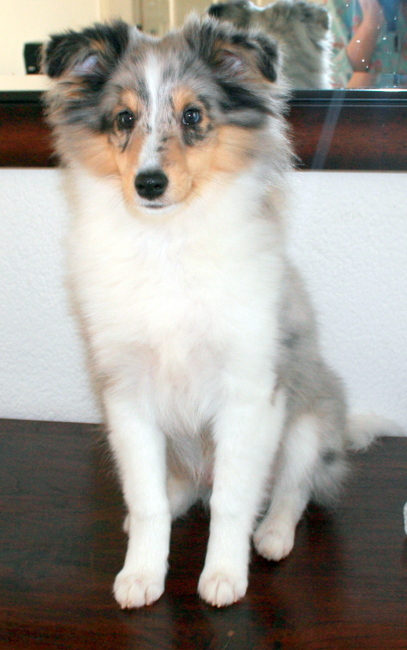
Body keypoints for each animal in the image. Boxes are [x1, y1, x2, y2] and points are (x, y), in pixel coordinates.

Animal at [43, 17, 373, 609]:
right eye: (124, 118)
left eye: (193, 115)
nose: (149, 183)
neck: (166, 242)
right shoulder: (127, 394)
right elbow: (147, 499)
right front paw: (141, 574)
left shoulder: (249, 392)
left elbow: (232, 501)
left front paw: (223, 576)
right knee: (182, 490)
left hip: (309, 420)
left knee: (293, 488)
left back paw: (273, 536)